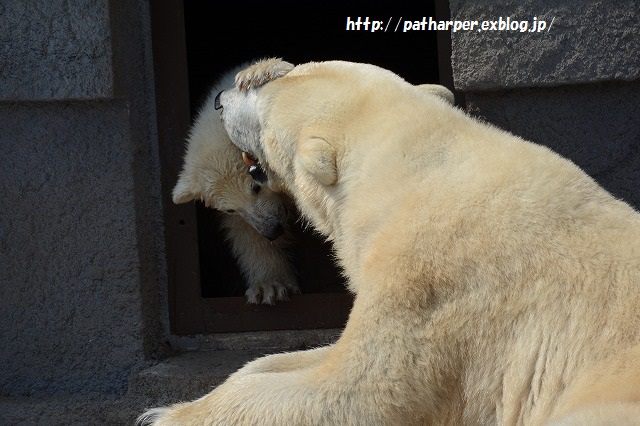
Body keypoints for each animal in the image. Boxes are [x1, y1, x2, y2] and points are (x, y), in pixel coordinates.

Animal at [140, 60, 640, 426]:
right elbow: (284, 362)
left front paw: (165, 413)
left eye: (263, 113)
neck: (421, 176)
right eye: (289, 69)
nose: (221, 100)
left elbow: (362, 393)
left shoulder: (429, 285)